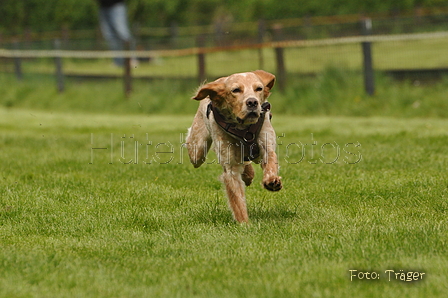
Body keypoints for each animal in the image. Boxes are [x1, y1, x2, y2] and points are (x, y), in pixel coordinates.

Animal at [187, 71, 282, 222]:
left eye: (259, 88)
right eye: (236, 90)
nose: (252, 102)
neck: (244, 129)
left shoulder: (267, 145)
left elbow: (270, 162)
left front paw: (272, 181)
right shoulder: (230, 167)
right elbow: (237, 200)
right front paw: (244, 223)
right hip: (197, 152)